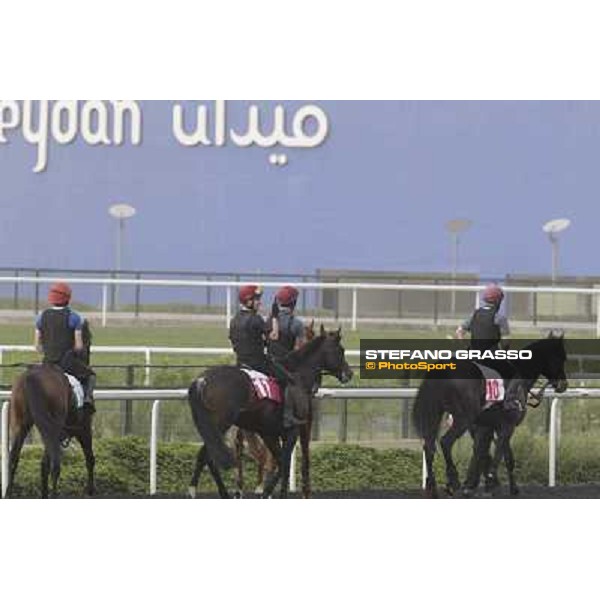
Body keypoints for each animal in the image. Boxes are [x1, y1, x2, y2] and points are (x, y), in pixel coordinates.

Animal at [3, 322, 95, 500]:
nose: (88, 367)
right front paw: (90, 490)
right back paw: (52, 494)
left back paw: (9, 493)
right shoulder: (83, 428)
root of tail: (30, 377)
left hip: (21, 424)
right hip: (52, 428)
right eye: (88, 343)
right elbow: (90, 458)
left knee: (14, 458)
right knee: (53, 461)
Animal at [185, 326, 350, 500]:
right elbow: (284, 462)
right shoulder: (293, 430)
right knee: (207, 455)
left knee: (208, 455)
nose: (349, 373)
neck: (298, 375)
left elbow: (280, 461)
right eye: (340, 350)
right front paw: (274, 493)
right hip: (221, 424)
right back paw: (199, 490)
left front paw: (269, 492)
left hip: (213, 427)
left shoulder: (269, 433)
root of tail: (202, 380)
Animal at [410, 332, 568, 496]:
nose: (563, 385)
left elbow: (487, 452)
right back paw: (454, 482)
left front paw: (482, 484)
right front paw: (493, 482)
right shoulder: (507, 425)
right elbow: (501, 454)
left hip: (435, 414)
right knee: (446, 442)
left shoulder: (489, 426)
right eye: (562, 358)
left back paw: (432, 487)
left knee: (429, 446)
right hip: (463, 419)